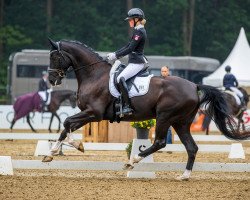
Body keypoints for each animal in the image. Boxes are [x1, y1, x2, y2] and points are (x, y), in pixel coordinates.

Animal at [43, 39, 250, 181]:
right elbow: (66, 126)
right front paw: (51, 153)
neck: (95, 75)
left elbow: (67, 123)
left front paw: (74, 145)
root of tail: (194, 85)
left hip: (165, 117)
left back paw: (132, 161)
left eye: (54, 56)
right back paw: (184, 176)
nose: (52, 80)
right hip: (180, 122)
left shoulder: (94, 113)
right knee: (191, 147)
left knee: (159, 142)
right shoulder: (88, 113)